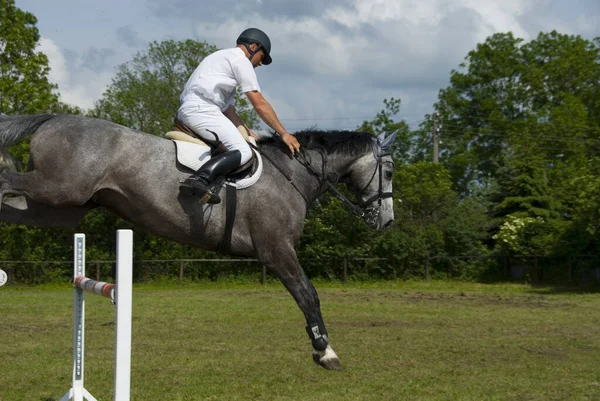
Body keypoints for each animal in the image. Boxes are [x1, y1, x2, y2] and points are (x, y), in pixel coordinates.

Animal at [0, 112, 396, 368]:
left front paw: (321, 349)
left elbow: (307, 295)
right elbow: (308, 295)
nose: (387, 221)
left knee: (13, 206)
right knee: (6, 181)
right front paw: (325, 352)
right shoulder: (277, 251)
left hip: (62, 207)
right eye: (390, 171)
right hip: (58, 189)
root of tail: (53, 119)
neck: (292, 175)